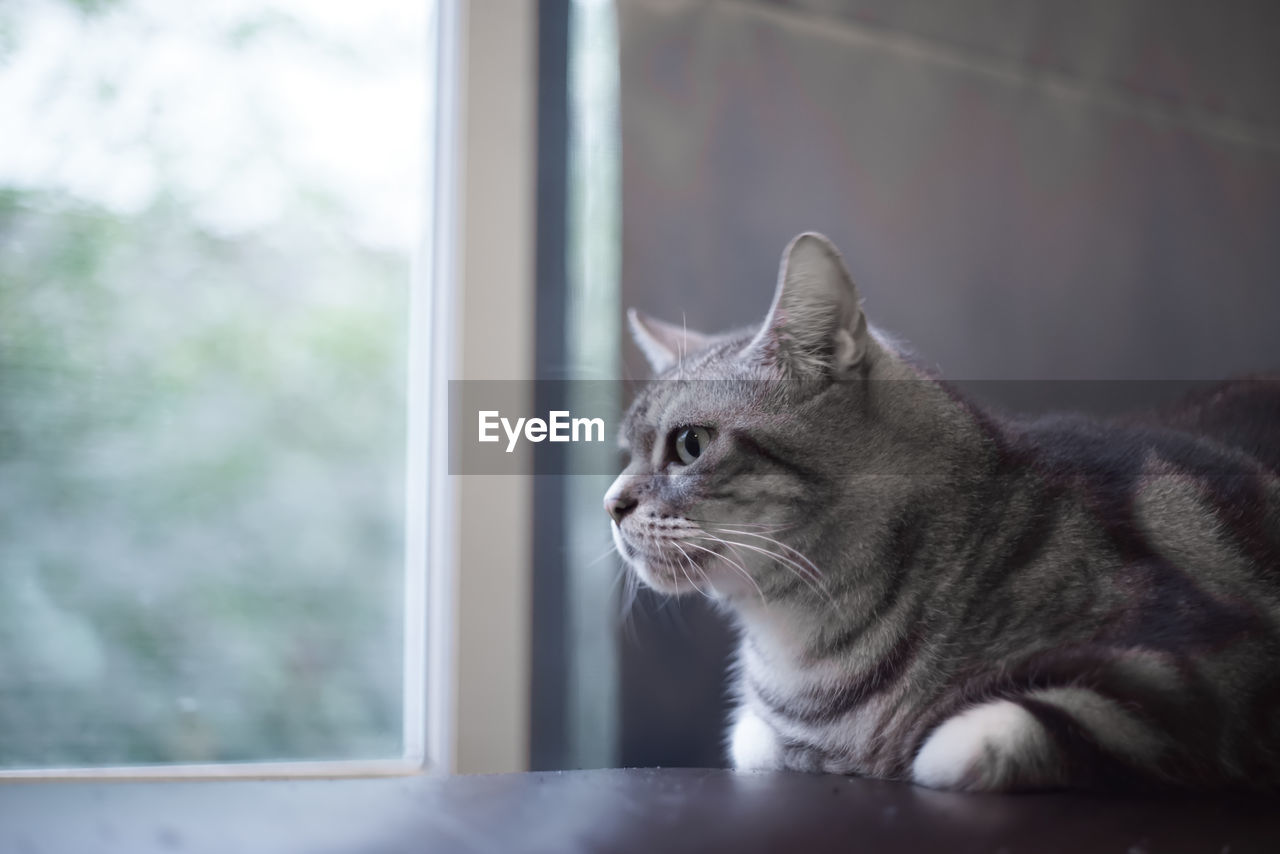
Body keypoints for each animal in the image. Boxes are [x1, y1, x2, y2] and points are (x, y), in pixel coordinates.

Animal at [606, 230, 1280, 793]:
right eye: (626, 452)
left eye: (690, 445)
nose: (611, 503)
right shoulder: (762, 734)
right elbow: (756, 741)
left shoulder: (1196, 671)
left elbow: (961, 745)